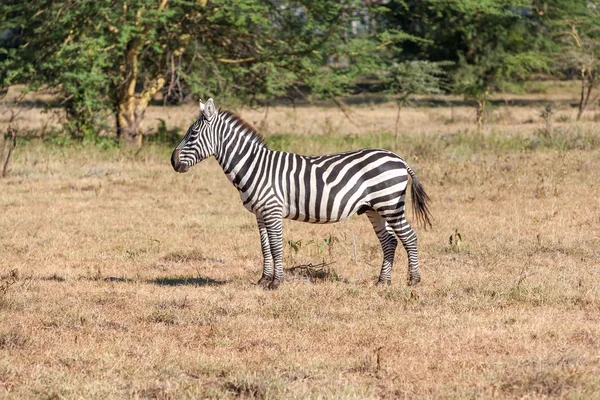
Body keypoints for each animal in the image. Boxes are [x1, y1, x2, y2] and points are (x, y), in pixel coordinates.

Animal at [170, 98, 432, 290]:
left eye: (192, 134)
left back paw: (413, 281)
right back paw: (382, 282)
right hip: (374, 208)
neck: (254, 165)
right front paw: (263, 280)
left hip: (390, 204)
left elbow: (276, 246)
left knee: (409, 237)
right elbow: (265, 247)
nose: (172, 161)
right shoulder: (260, 214)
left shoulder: (273, 210)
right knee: (389, 241)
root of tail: (398, 158)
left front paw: (276, 282)